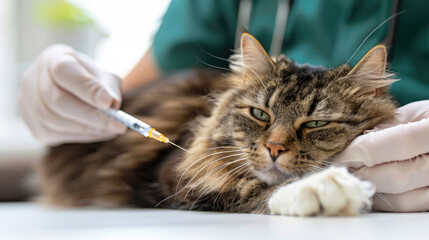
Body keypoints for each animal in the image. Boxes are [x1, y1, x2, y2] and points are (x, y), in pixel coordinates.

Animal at [38, 33, 396, 216]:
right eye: (260, 115)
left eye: (317, 123)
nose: (274, 148)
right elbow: (251, 189)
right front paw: (324, 188)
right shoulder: (174, 177)